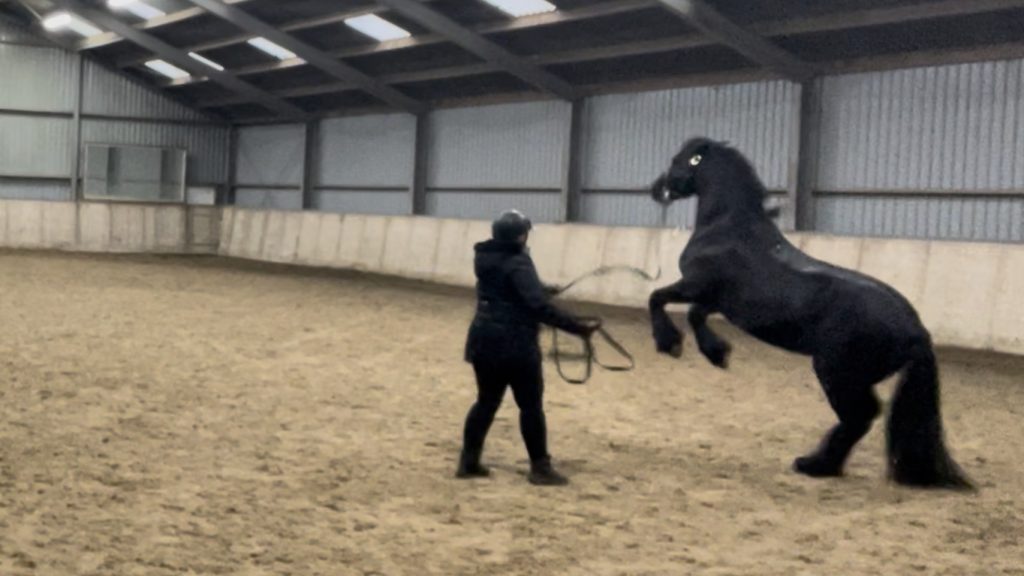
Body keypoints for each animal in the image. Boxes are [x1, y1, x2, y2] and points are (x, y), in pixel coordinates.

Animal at [651, 136, 970, 485]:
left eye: (679, 159)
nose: (657, 188)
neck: (728, 229)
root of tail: (917, 331)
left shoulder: (695, 285)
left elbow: (658, 298)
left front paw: (670, 343)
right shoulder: (717, 300)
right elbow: (695, 314)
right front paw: (717, 353)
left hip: (836, 372)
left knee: (861, 415)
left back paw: (814, 465)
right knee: (864, 416)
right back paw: (822, 464)